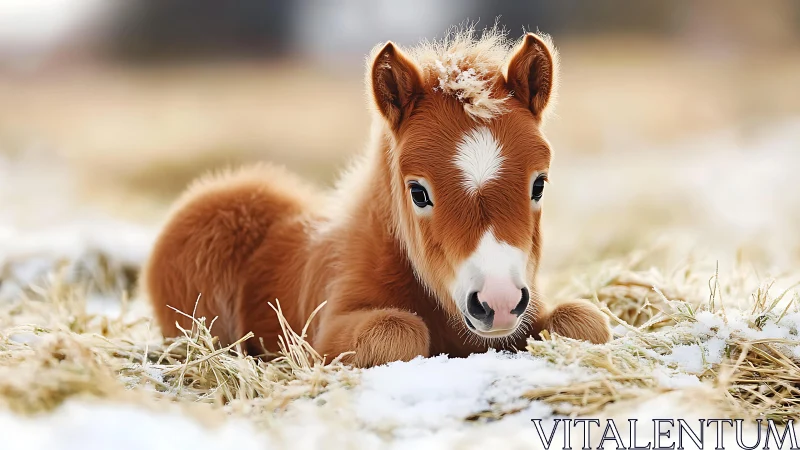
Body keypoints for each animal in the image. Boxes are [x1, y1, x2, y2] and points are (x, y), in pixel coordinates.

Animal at [143, 28, 611, 368]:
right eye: (418, 192)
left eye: (539, 184)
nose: (498, 303)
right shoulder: (325, 333)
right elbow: (399, 332)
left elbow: (585, 322)